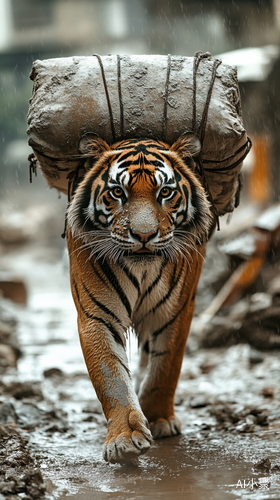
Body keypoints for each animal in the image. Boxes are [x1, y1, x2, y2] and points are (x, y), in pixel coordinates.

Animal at [67, 133, 212, 464]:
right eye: (117, 192)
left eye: (165, 192)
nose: (144, 236)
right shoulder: (97, 315)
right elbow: (112, 377)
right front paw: (124, 439)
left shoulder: (177, 312)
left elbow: (165, 368)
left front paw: (158, 419)